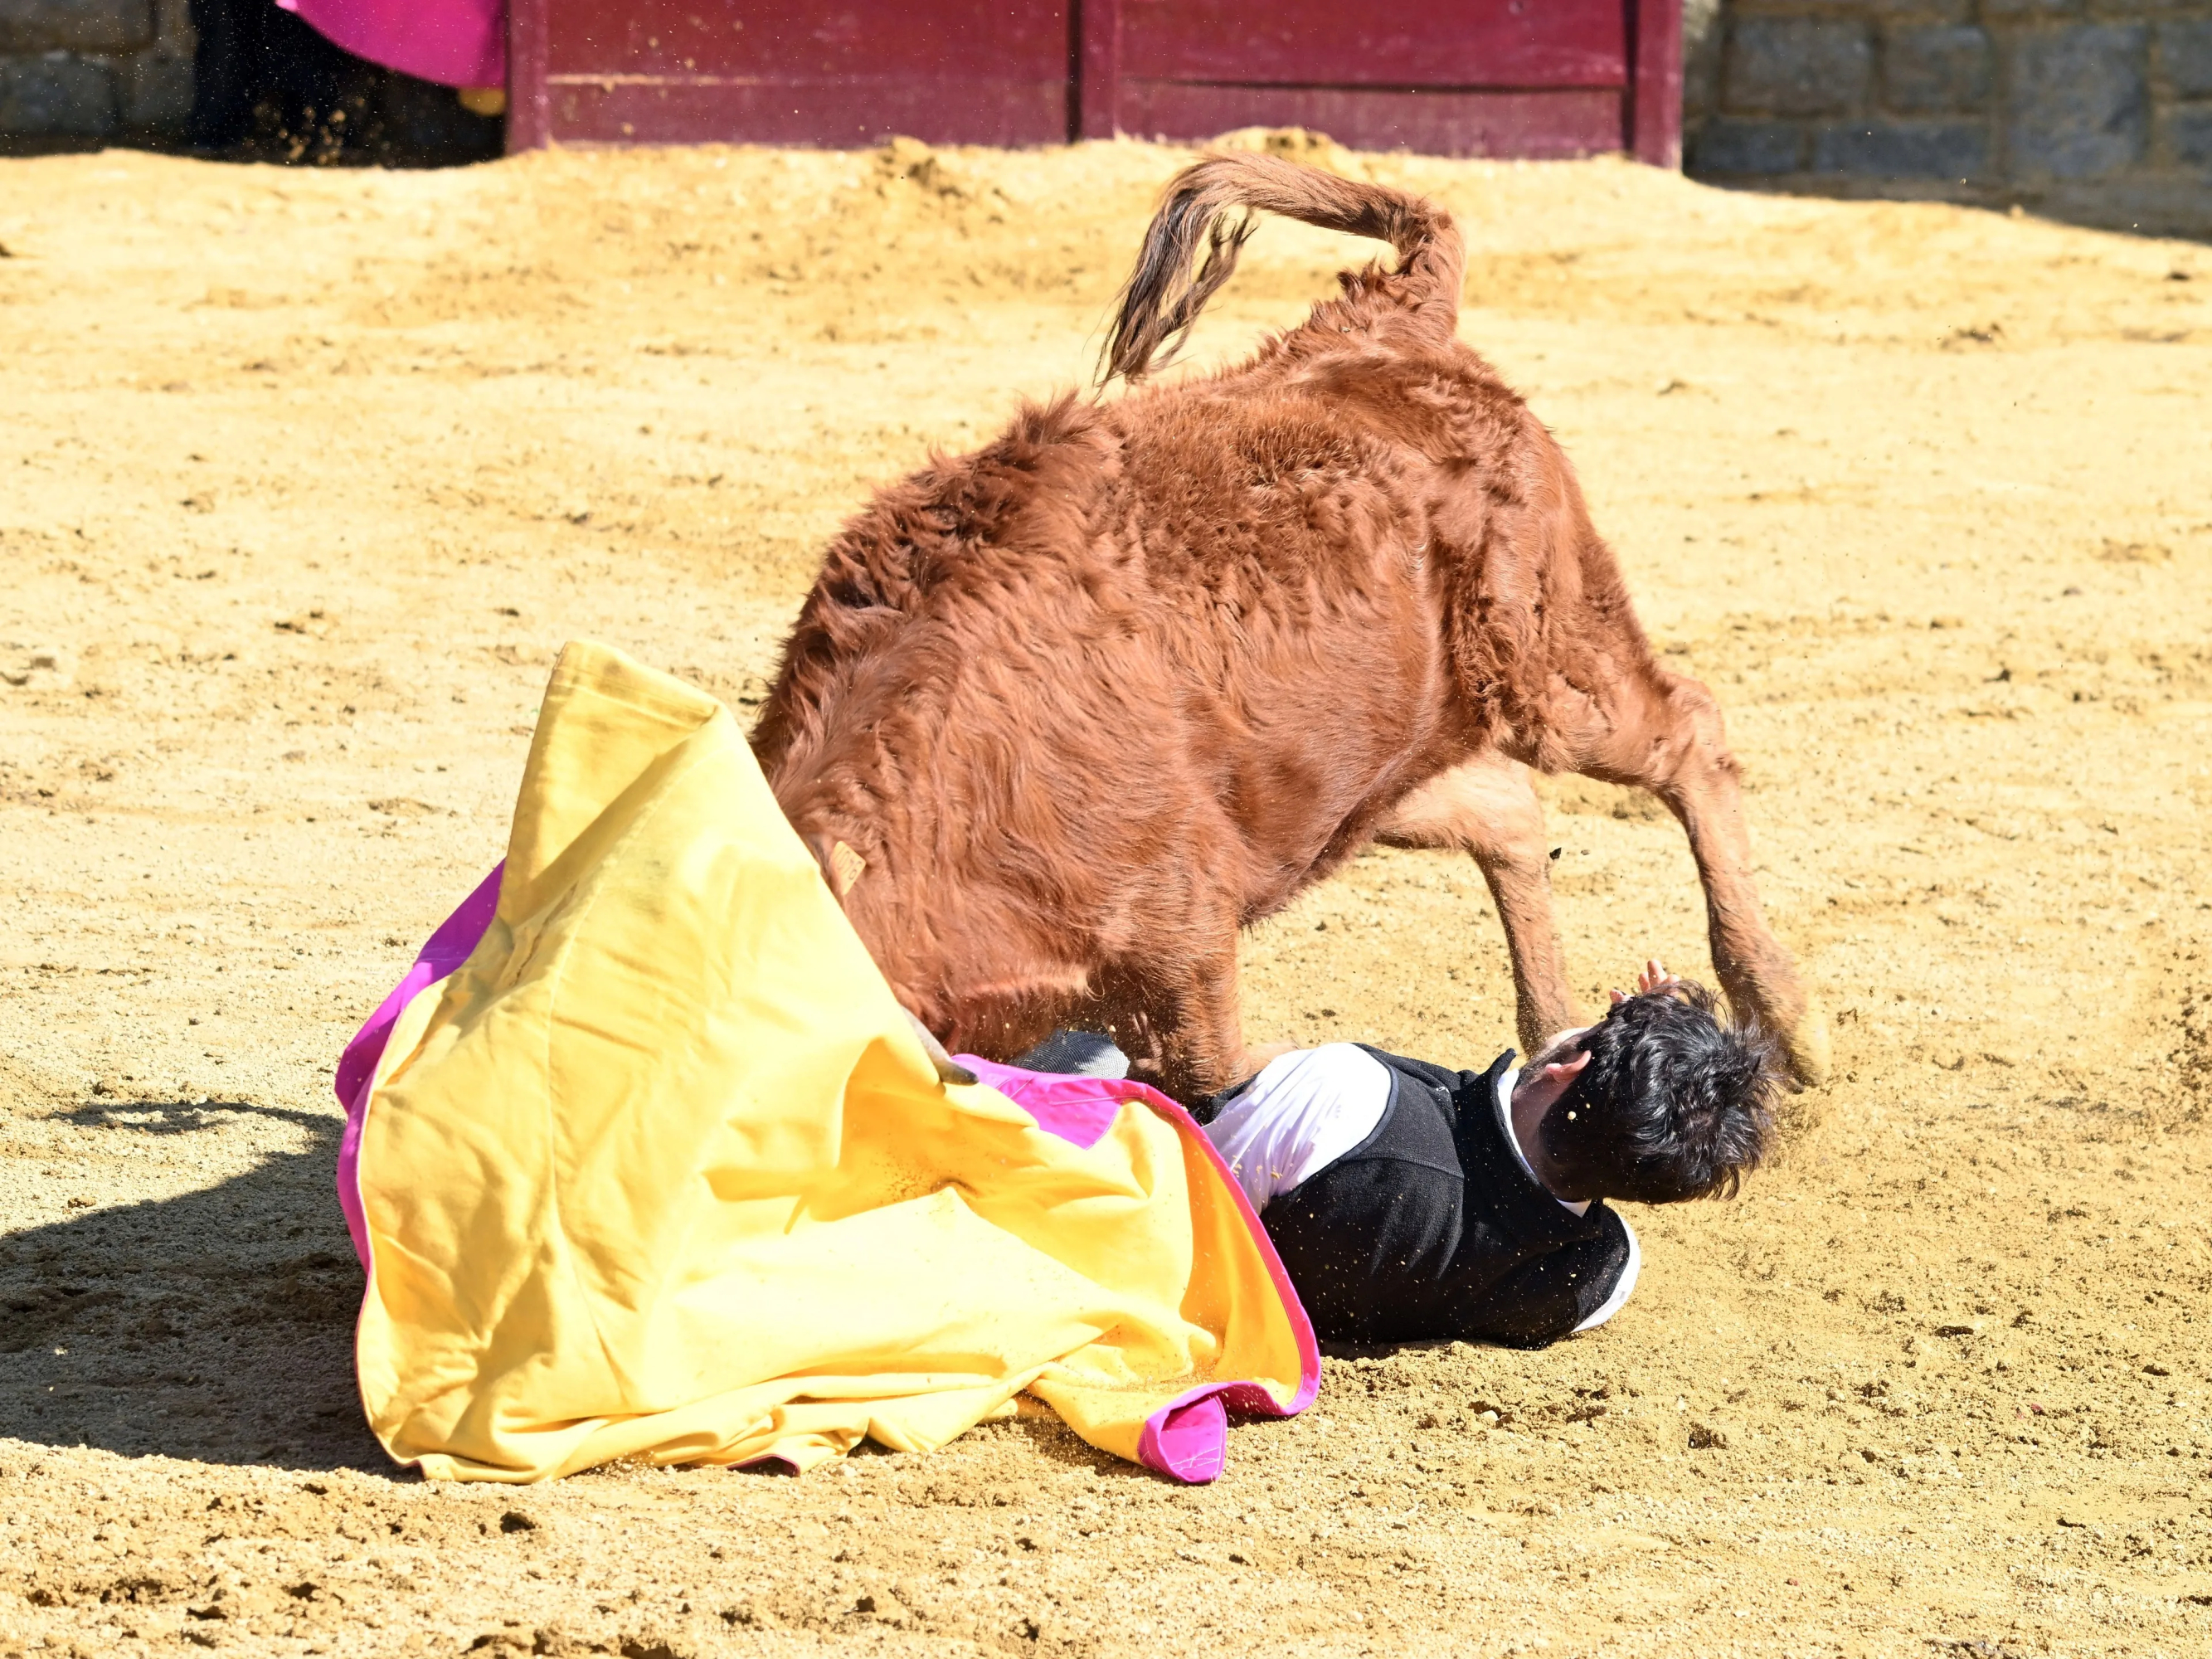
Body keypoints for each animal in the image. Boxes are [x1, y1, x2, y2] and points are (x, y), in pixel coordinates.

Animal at [751, 153, 1822, 1106]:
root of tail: (1389, 320)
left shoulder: (1183, 937)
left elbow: (1217, 1076)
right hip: (1374, 770)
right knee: (1508, 810)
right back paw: (1556, 1034)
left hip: (1552, 662)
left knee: (1688, 733)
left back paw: (1781, 1016)